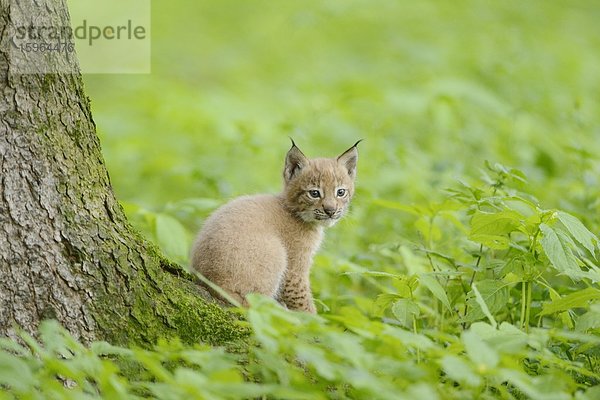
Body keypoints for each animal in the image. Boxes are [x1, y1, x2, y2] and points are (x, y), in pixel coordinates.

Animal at [192, 141, 358, 312]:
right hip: (276, 253)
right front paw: (311, 318)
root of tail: (209, 281)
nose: (331, 211)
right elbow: (303, 302)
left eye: (340, 192)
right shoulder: (294, 270)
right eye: (314, 193)